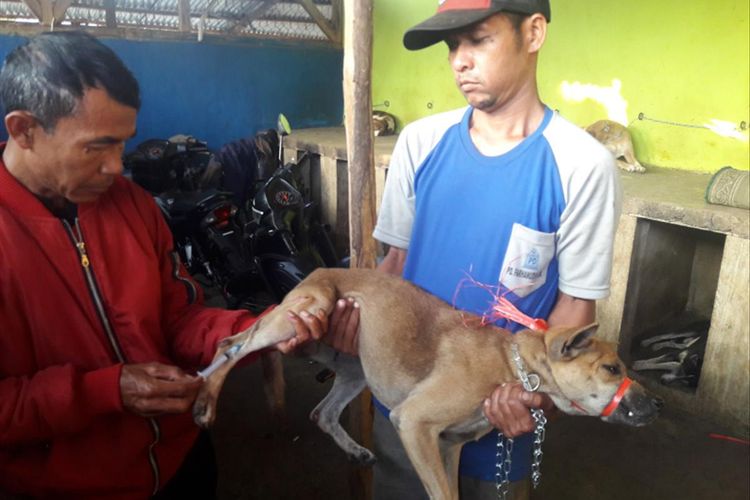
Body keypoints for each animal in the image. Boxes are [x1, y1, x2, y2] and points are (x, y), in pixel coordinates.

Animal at [194, 270, 664, 500]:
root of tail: (316, 270)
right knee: (232, 344)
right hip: (303, 314)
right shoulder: (414, 423)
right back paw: (204, 397)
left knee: (321, 413)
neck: (512, 364)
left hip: (355, 368)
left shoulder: (449, 446)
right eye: (611, 368)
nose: (659, 405)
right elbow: (442, 495)